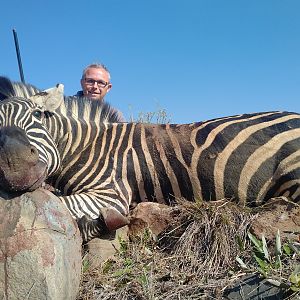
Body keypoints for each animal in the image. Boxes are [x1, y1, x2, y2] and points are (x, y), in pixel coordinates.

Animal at [0, 77, 298, 241]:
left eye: (37, 115)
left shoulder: (110, 193)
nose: (16, 168)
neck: (87, 146)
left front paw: (102, 223)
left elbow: (63, 206)